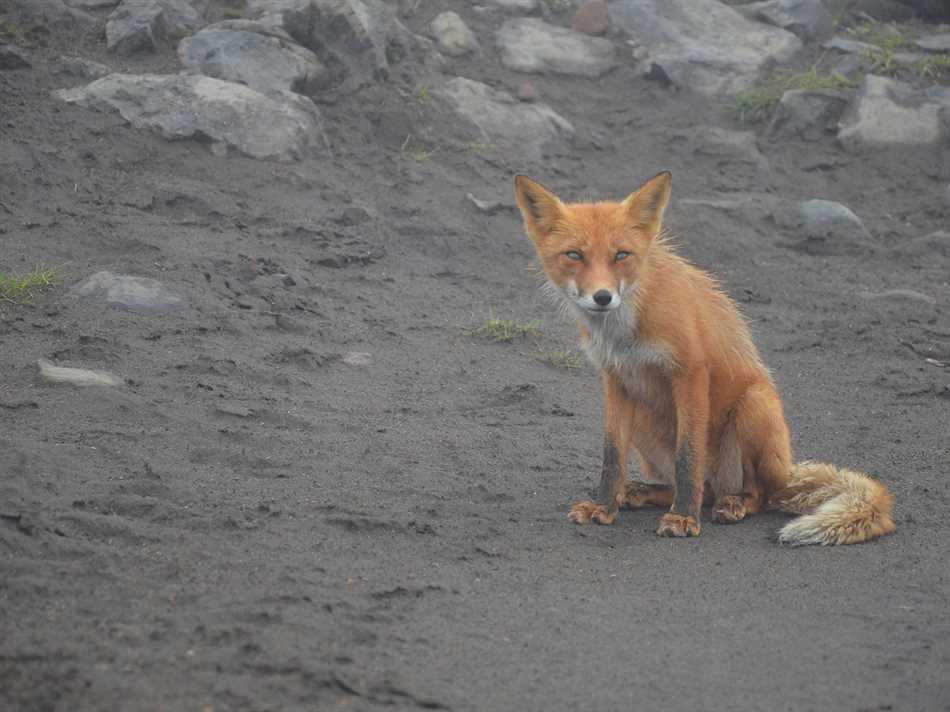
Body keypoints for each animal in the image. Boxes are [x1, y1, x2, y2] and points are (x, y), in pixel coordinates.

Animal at [516, 171, 896, 544]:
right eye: (574, 255)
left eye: (621, 255)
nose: (603, 297)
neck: (626, 330)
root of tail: (787, 472)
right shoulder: (616, 380)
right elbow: (612, 457)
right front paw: (603, 506)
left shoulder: (691, 372)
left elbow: (688, 457)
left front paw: (684, 517)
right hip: (643, 421)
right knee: (697, 489)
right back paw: (643, 492)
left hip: (754, 407)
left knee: (757, 495)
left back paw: (733, 504)